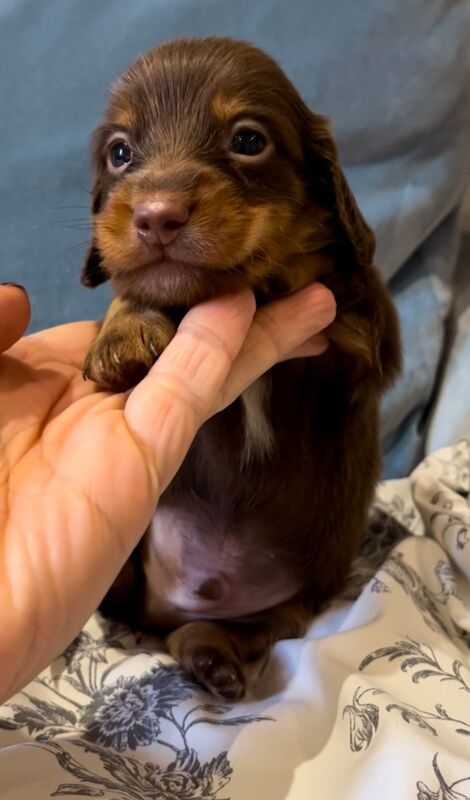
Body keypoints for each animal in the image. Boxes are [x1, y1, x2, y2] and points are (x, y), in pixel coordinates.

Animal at [81, 39, 400, 700]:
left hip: (294, 603)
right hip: (123, 573)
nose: (155, 216)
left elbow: (334, 281)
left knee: (228, 630)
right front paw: (125, 329)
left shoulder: (366, 349)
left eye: (249, 140)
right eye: (120, 153)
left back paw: (212, 655)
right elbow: (137, 284)